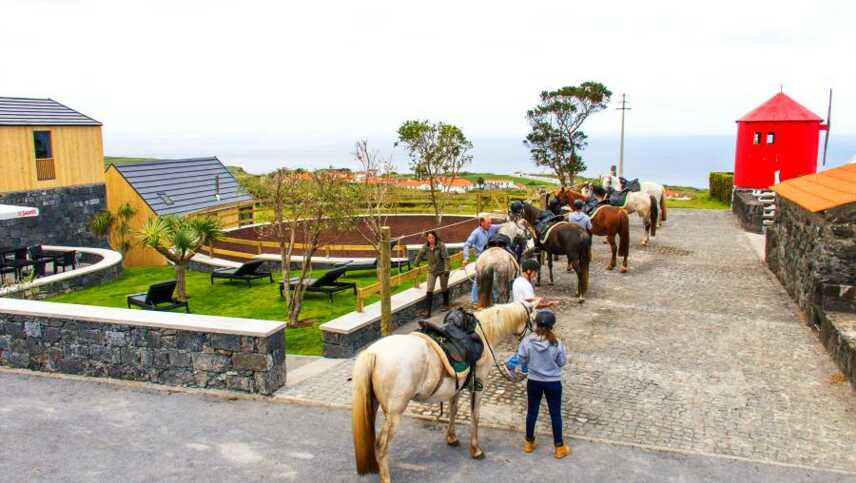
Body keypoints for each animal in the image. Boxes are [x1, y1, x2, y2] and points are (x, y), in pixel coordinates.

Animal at [352, 304, 532, 482]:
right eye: (532, 323)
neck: (485, 332)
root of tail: (373, 353)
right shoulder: (478, 386)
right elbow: (475, 416)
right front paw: (475, 449)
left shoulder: (457, 388)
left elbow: (453, 410)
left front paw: (451, 438)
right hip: (394, 413)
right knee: (381, 444)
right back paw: (385, 477)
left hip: (374, 404)